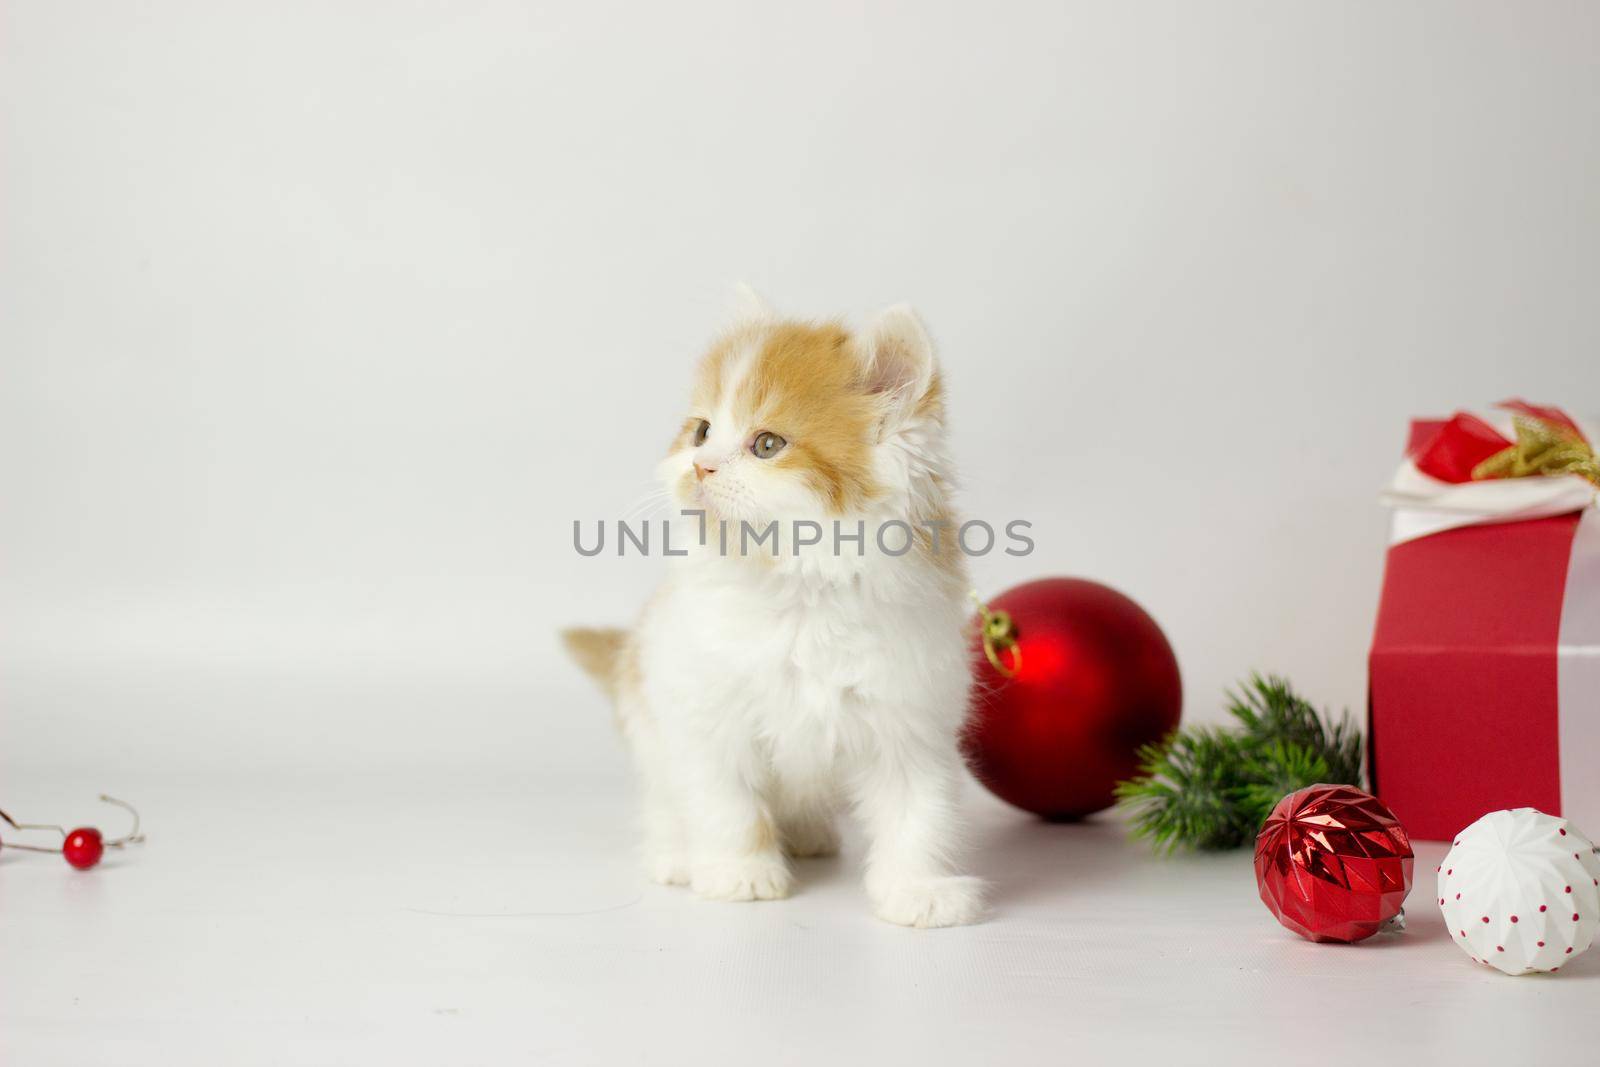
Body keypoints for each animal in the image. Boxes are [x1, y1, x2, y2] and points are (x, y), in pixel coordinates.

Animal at [563, 292, 985, 927]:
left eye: (767, 445)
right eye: (702, 432)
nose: (700, 466)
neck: (799, 588)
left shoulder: (911, 712)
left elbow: (920, 811)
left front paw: (919, 889)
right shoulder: (702, 708)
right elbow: (725, 802)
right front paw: (740, 872)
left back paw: (810, 835)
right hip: (647, 715)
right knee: (665, 798)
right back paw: (676, 854)